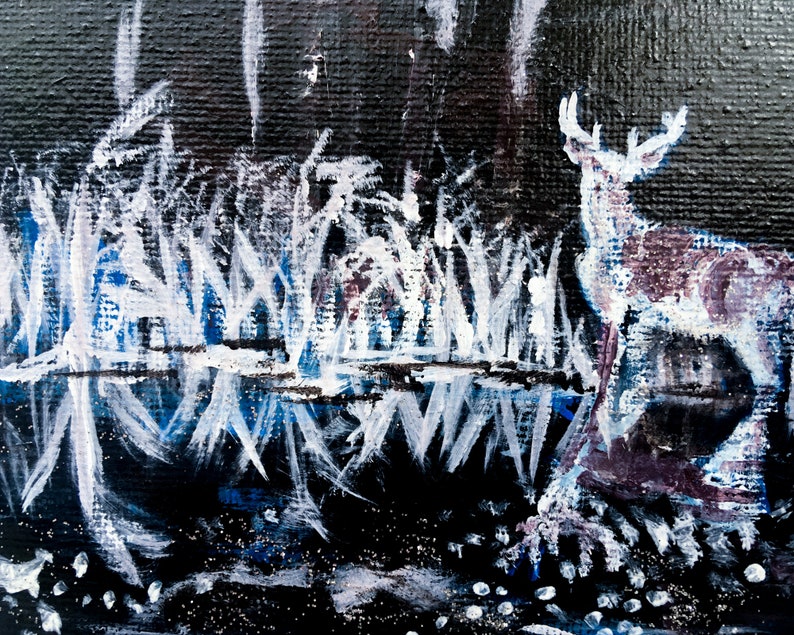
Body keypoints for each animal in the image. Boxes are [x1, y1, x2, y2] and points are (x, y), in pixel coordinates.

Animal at [555, 92, 794, 516]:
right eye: (594, 163)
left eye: (623, 172)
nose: (606, 185)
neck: (610, 245)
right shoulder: (644, 320)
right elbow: (635, 380)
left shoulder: (622, 308)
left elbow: (607, 377)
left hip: (752, 327)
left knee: (771, 384)